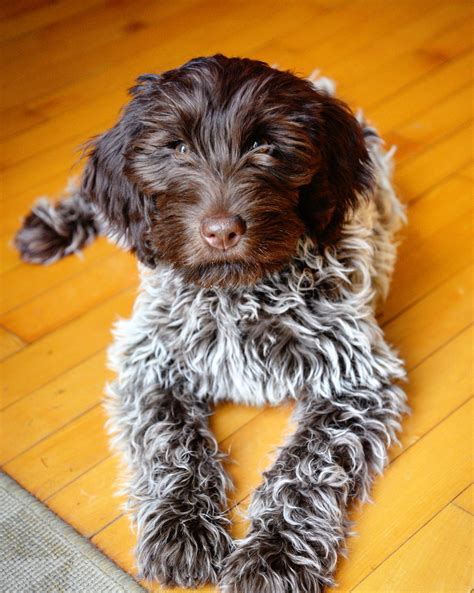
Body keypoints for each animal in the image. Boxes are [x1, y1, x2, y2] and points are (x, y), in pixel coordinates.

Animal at [14, 55, 408, 592]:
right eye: (177, 148)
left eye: (265, 146)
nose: (222, 231)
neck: (238, 294)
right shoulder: (151, 365)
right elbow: (173, 443)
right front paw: (181, 528)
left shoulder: (356, 382)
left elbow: (308, 465)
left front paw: (273, 553)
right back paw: (55, 225)